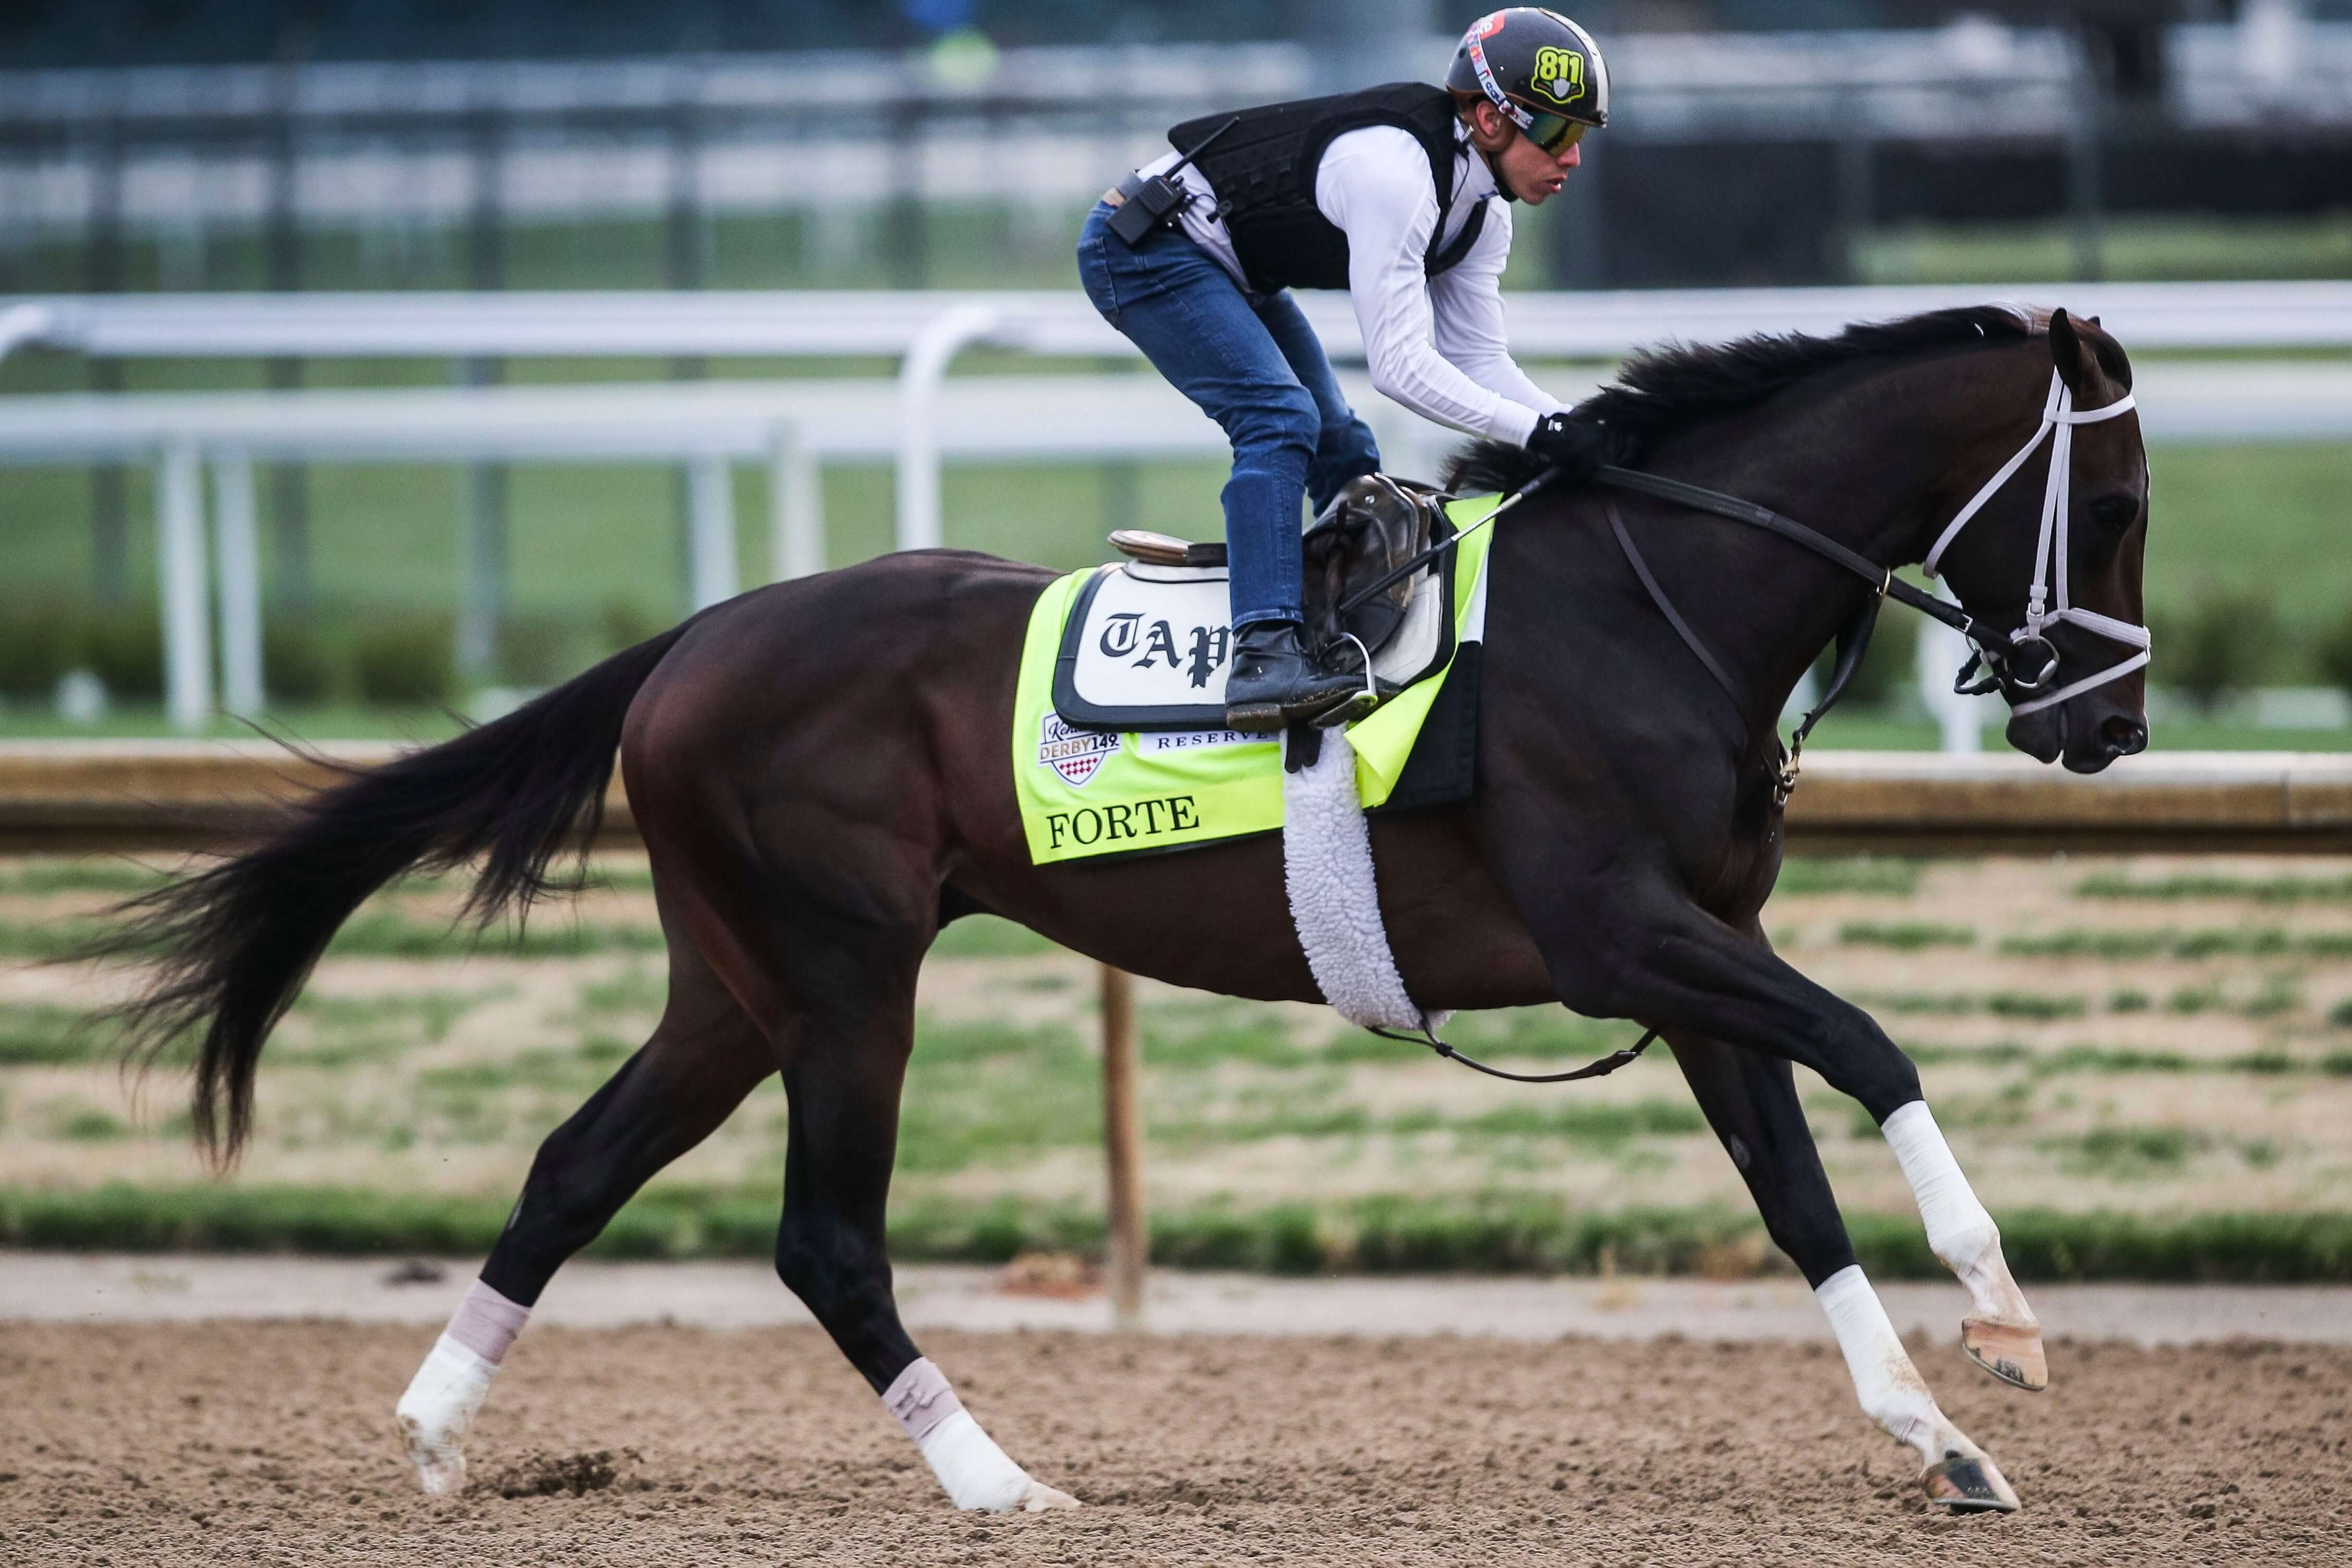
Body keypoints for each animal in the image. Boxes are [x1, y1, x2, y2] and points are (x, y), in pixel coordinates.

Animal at [96, 303, 2154, 1523]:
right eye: (2122, 498)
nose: (2108, 723)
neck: (1654, 600)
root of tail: (694, 640)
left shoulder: (1691, 960)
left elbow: (1794, 1189)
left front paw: (1940, 1434)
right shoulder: (1620, 935)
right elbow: (1872, 1045)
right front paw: (2004, 1313)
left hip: (736, 981)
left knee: (573, 1161)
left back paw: (439, 1428)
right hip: (844, 971)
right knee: (824, 1238)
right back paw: (999, 1483)